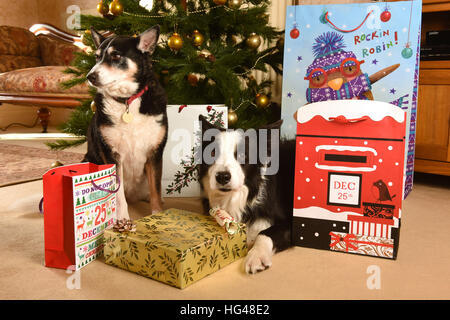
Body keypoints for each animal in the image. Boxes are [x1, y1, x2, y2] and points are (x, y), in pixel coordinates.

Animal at [83, 25, 167, 220]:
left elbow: (156, 189)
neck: (127, 101)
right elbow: (118, 194)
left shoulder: (155, 153)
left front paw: (158, 215)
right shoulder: (112, 154)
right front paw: (122, 219)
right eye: (97, 57)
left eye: (116, 56)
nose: (90, 76)